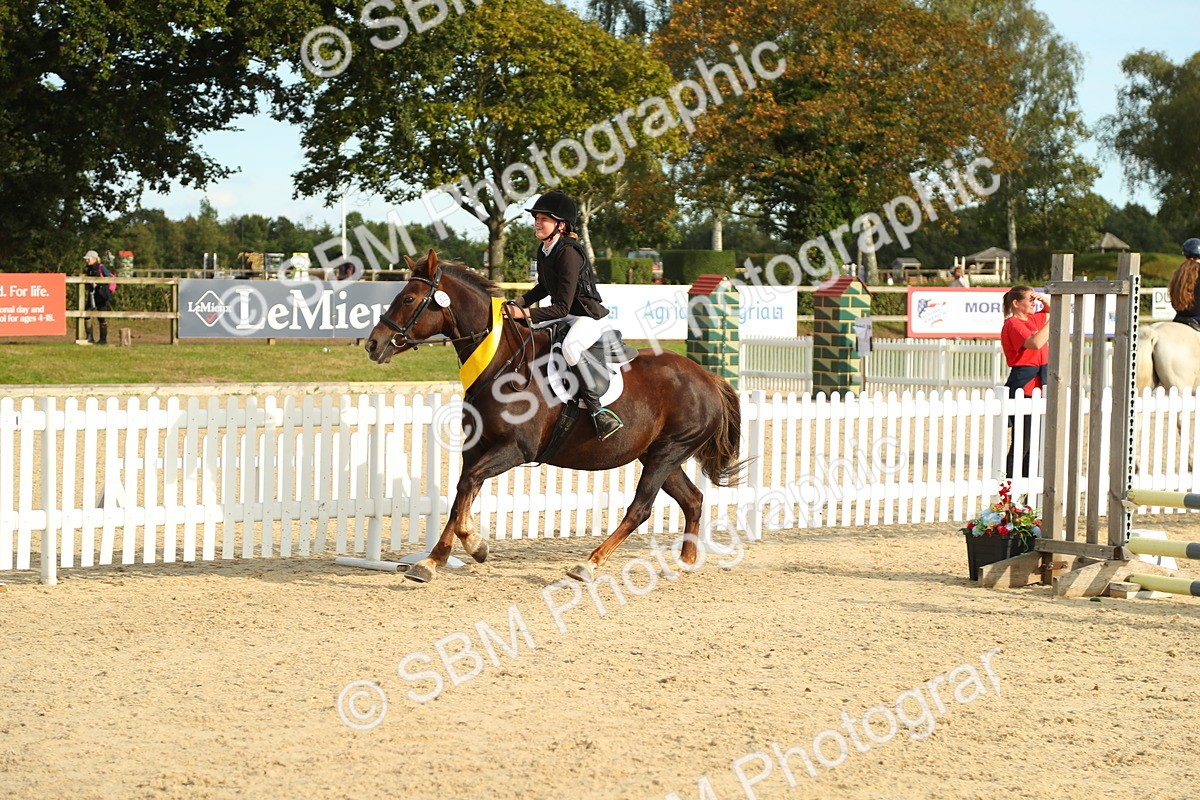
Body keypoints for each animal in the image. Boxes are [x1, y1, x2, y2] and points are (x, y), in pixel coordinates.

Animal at [363, 251, 745, 584]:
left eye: (409, 299)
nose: (373, 344)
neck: (502, 363)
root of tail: (709, 378)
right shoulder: (477, 449)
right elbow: (461, 492)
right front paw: (431, 561)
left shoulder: (516, 449)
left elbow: (467, 487)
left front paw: (475, 545)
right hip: (658, 456)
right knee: (692, 500)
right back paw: (685, 563)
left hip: (667, 453)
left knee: (641, 508)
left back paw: (588, 565)